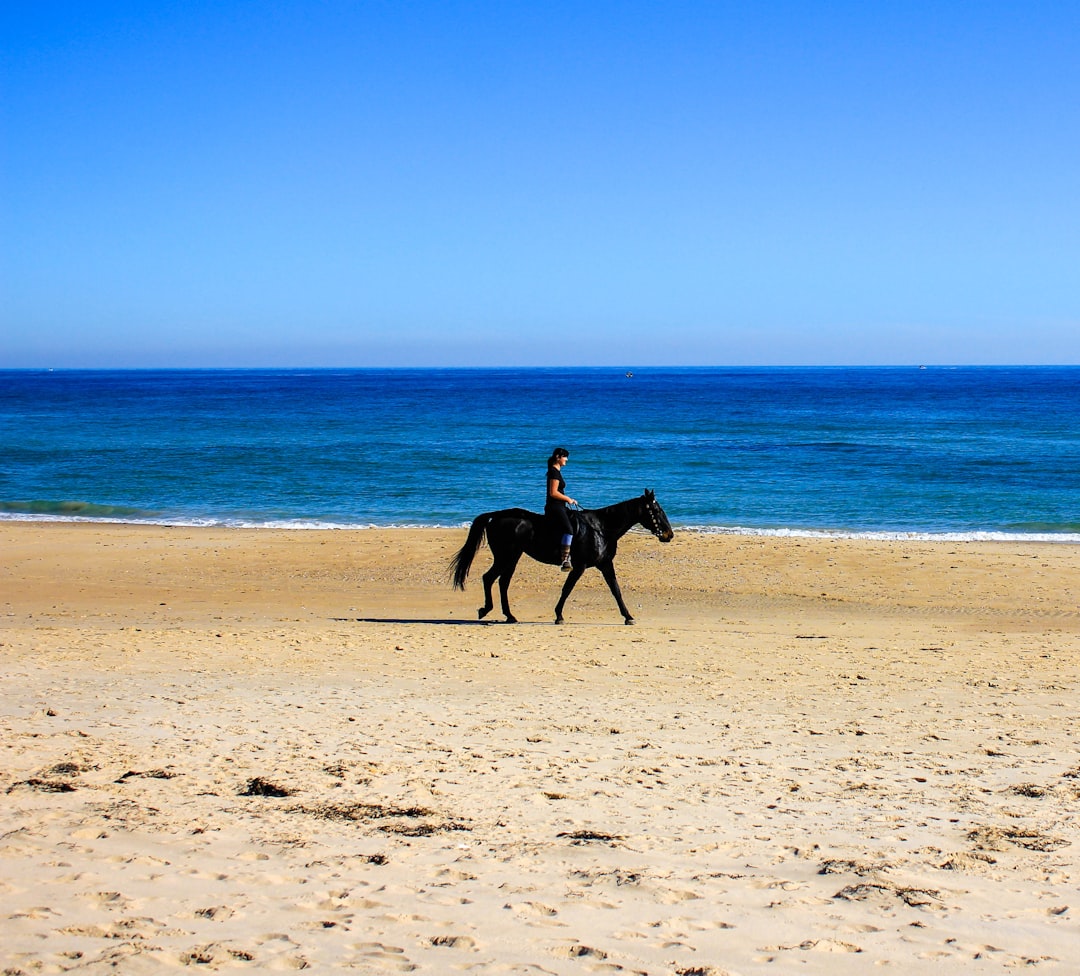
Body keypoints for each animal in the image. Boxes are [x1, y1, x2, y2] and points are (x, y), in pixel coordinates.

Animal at [449, 488, 669, 626]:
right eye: (657, 510)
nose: (669, 534)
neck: (601, 528)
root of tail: (497, 515)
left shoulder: (605, 564)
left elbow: (616, 590)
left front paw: (628, 616)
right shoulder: (579, 566)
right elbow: (567, 589)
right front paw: (559, 616)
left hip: (512, 557)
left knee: (502, 582)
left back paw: (509, 615)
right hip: (506, 556)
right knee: (490, 578)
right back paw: (486, 610)